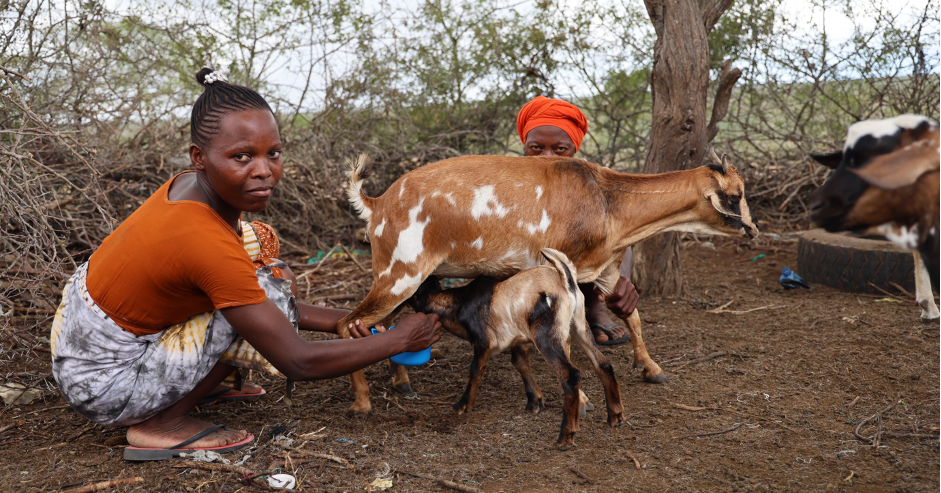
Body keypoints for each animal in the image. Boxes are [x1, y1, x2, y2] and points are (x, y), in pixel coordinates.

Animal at [338, 152, 756, 414]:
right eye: (734, 196)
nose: (752, 230)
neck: (607, 199)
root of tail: (377, 203)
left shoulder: (604, 269)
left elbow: (634, 316)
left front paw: (652, 368)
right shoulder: (558, 267)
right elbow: (566, 338)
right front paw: (583, 399)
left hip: (404, 276)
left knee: (382, 322)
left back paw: (402, 382)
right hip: (399, 272)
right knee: (348, 323)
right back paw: (362, 402)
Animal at [406, 248, 620, 448]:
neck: (459, 303)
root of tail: (564, 280)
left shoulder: (484, 342)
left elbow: (476, 369)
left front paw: (463, 405)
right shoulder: (519, 341)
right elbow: (520, 363)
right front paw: (535, 402)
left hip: (547, 336)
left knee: (571, 374)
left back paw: (566, 436)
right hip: (578, 325)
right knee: (603, 363)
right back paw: (615, 416)